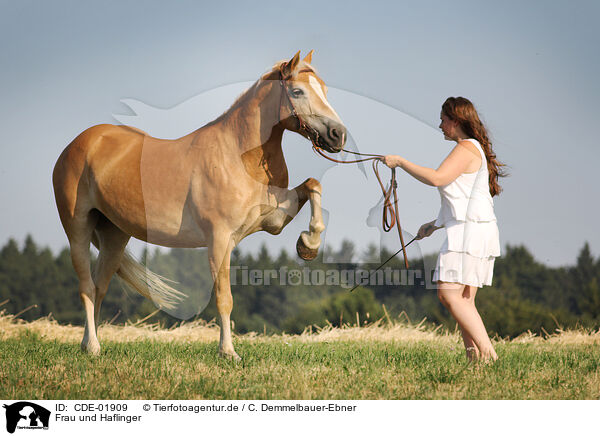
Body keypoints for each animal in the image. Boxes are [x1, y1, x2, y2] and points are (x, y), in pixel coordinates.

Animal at [54, 51, 350, 360]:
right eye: (297, 91)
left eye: (324, 90)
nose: (337, 134)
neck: (238, 156)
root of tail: (82, 142)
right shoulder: (219, 239)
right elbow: (223, 298)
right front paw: (228, 352)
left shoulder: (274, 220)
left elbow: (313, 185)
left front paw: (309, 244)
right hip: (78, 229)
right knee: (86, 287)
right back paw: (93, 346)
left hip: (114, 235)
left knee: (100, 287)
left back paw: (90, 344)